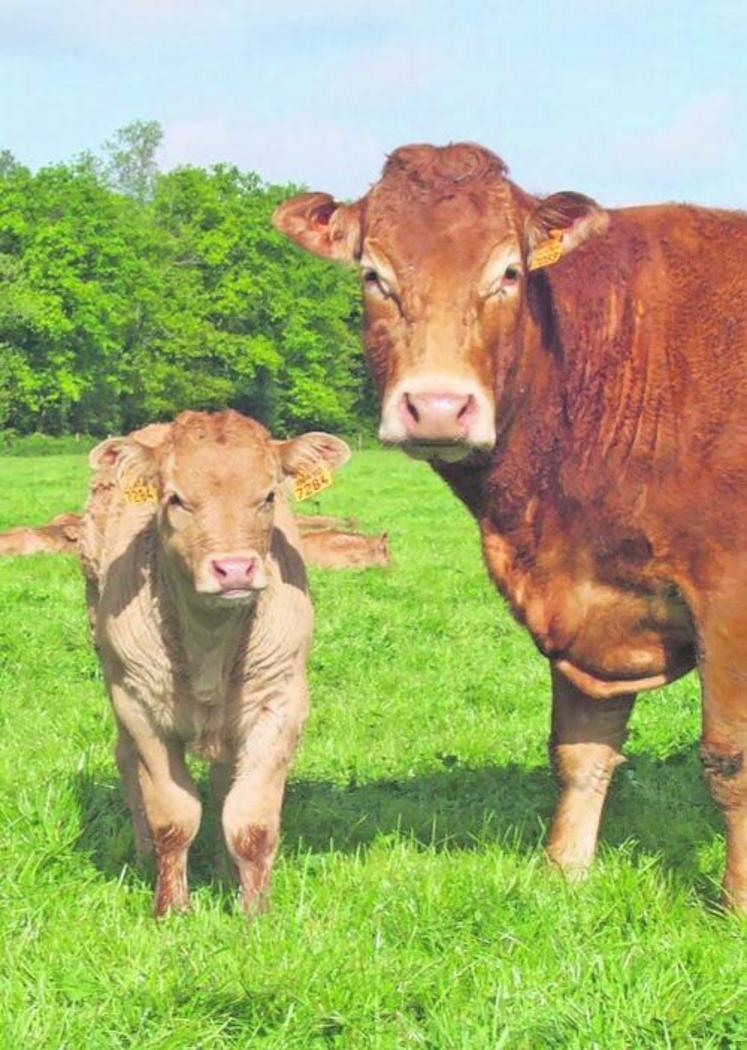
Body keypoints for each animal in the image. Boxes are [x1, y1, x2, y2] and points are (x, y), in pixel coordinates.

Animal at [80, 405, 348, 915]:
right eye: (175, 498)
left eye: (268, 495)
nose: (235, 569)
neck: (209, 638)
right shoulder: (139, 706)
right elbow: (173, 817)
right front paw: (171, 908)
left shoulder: (280, 702)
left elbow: (249, 819)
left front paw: (254, 913)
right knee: (126, 763)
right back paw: (143, 856)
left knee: (226, 783)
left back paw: (226, 874)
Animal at [275, 139, 747, 911]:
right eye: (373, 274)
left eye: (508, 272)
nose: (438, 408)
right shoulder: (580, 594)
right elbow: (580, 750)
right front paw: (565, 871)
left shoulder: (726, 596)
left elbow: (726, 761)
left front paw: (734, 903)